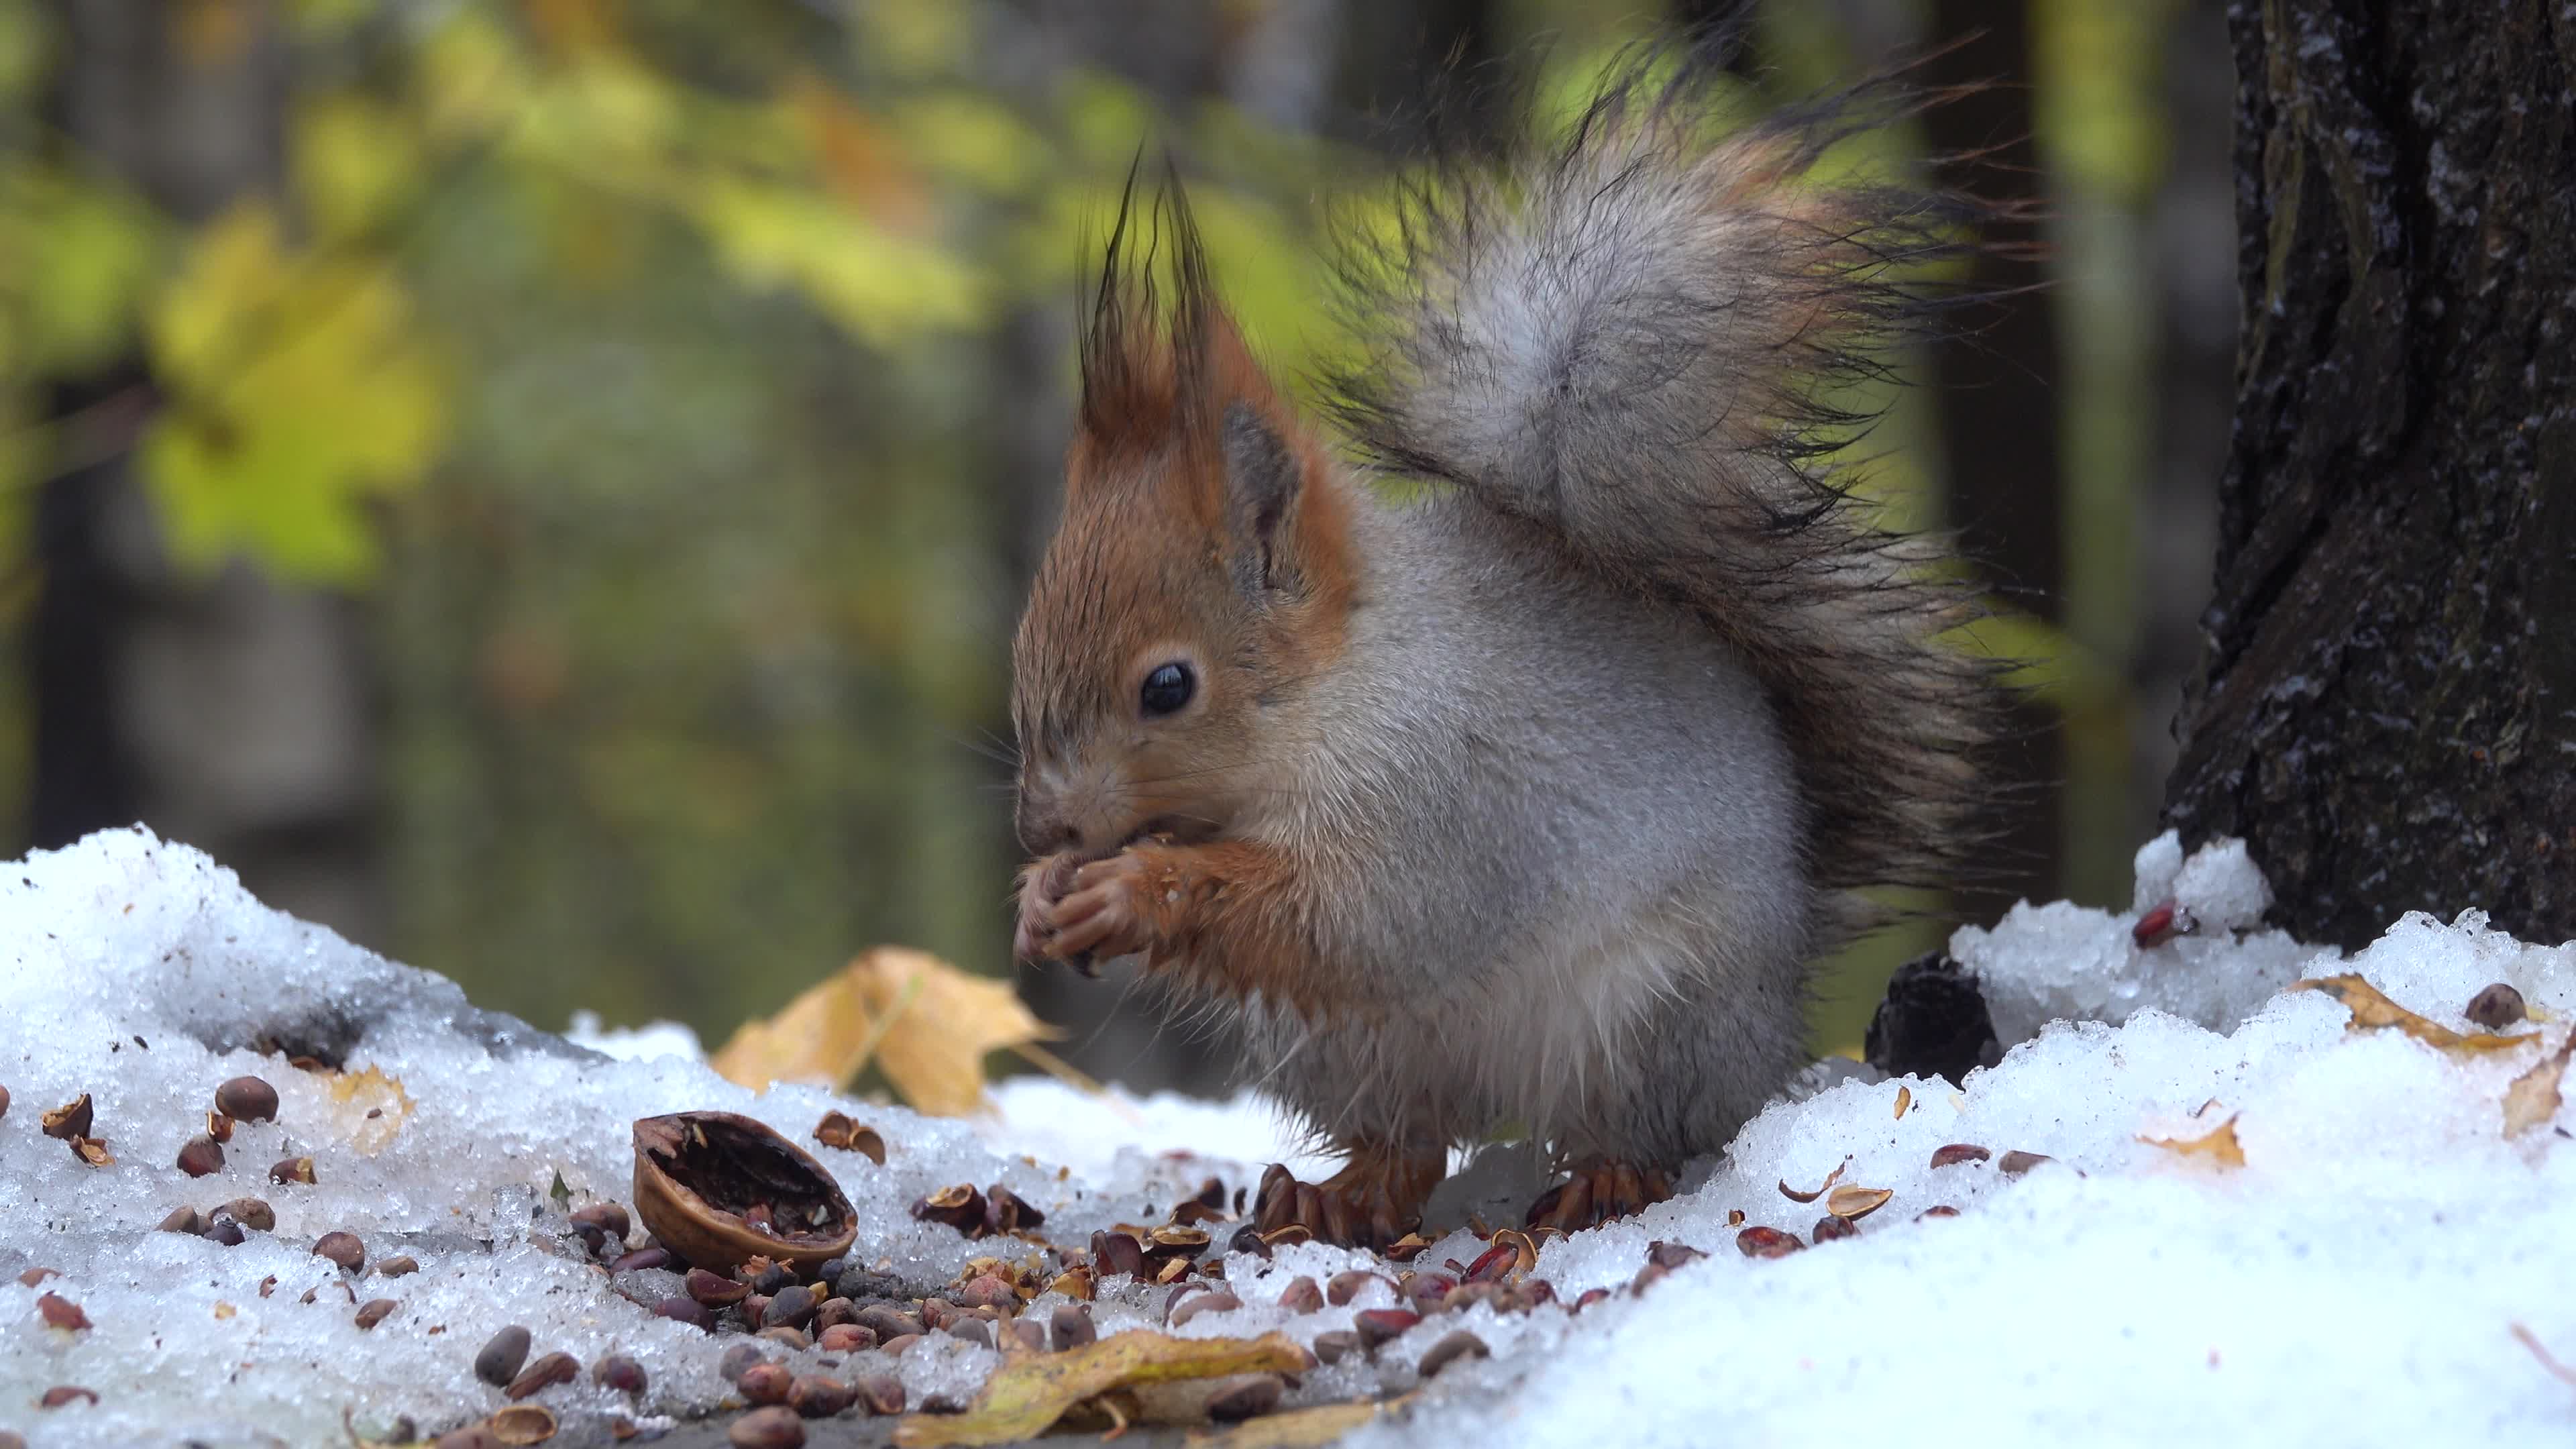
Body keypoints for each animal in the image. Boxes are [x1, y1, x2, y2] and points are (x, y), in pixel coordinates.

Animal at [999, 39, 1988, 1248]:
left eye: (1169, 687)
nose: (1042, 825)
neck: (1343, 688)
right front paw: (1043, 896)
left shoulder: (1445, 794)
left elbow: (1361, 924)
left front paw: (1133, 889)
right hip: (1342, 1049)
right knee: (1411, 1146)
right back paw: (1333, 1196)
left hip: (1651, 1016)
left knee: (1641, 1126)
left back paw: (1604, 1178)